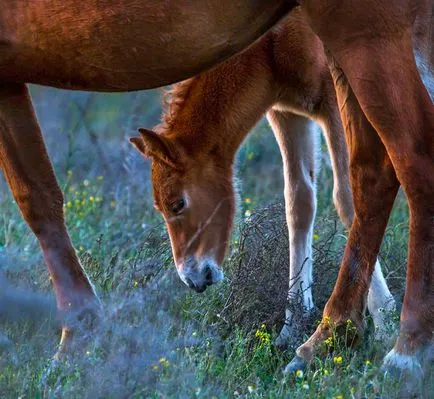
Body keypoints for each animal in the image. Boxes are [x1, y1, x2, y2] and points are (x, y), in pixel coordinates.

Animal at [132, 8, 396, 346]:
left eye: (178, 203)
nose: (193, 278)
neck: (272, 42)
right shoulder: (287, 113)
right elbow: (298, 203)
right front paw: (292, 326)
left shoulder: (336, 101)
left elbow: (350, 198)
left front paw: (385, 322)